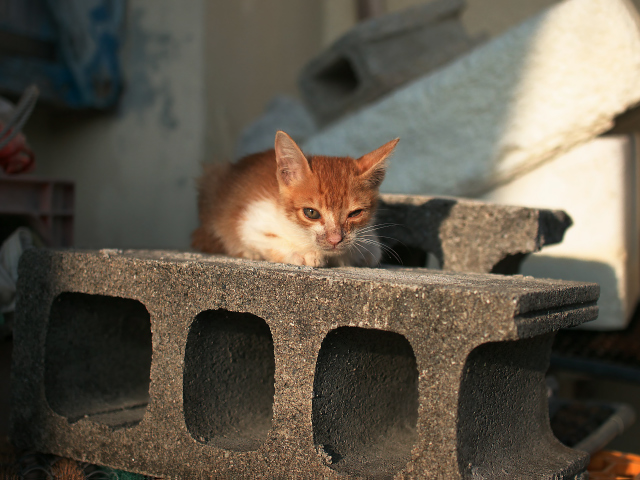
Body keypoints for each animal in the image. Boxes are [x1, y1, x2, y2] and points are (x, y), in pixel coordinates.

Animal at [192, 130, 398, 266]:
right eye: (311, 213)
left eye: (355, 213)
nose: (335, 239)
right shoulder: (248, 221)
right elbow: (263, 239)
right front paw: (303, 252)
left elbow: (372, 252)